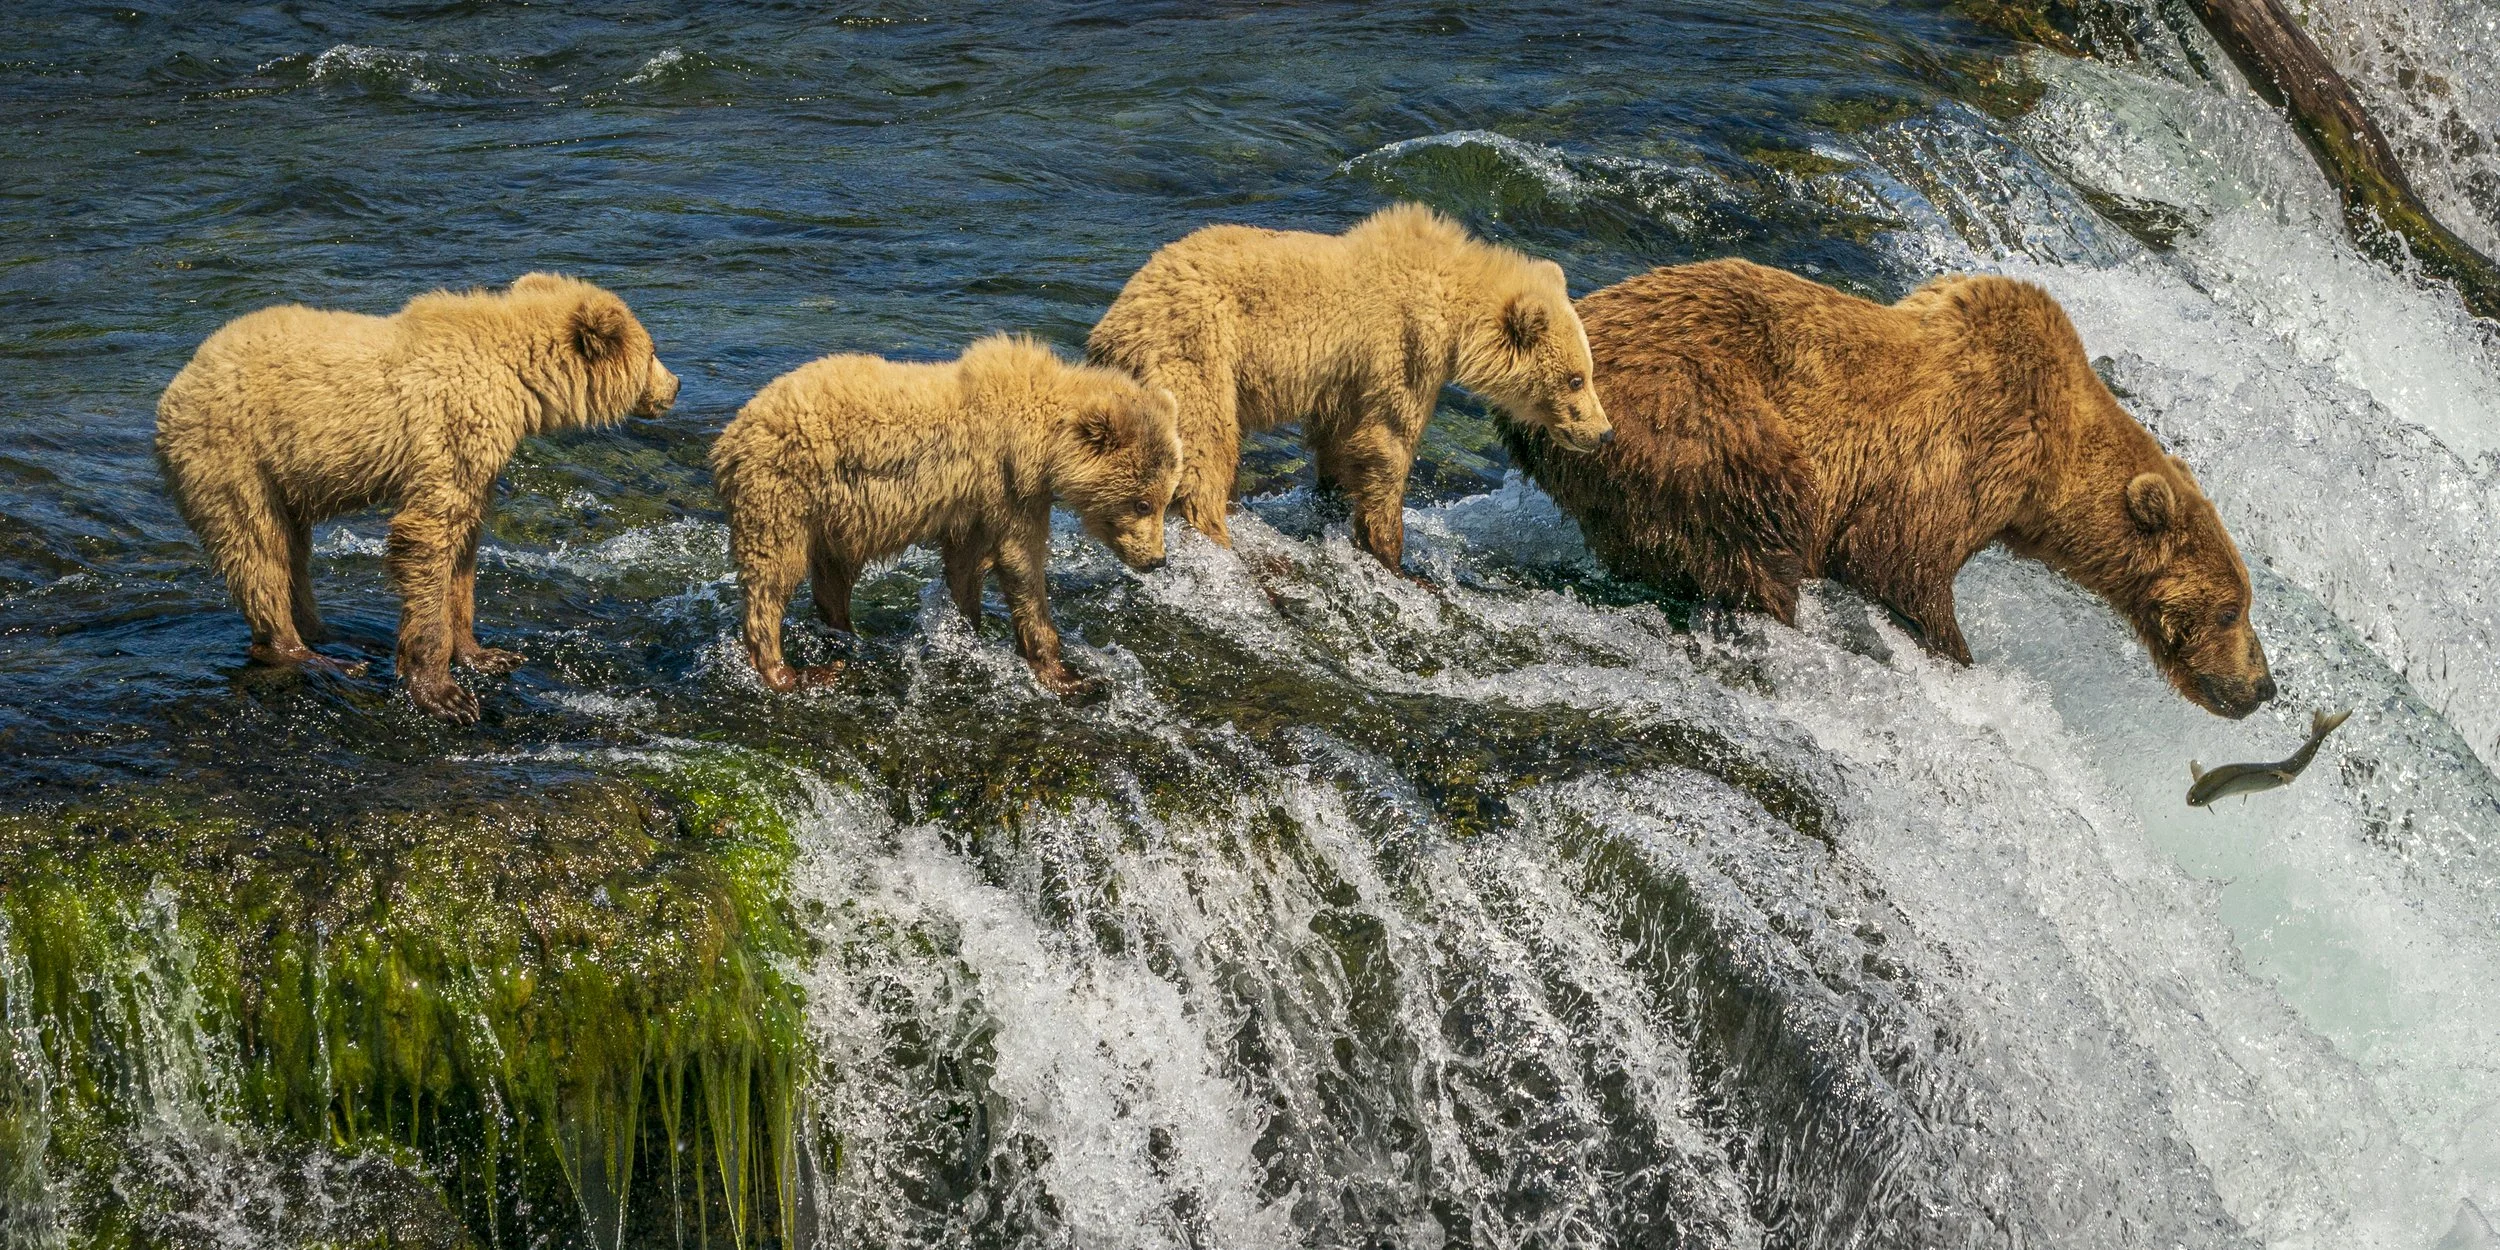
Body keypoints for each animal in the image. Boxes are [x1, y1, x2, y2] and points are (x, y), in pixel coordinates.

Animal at [155, 273, 680, 723]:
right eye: (654, 350)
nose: (674, 387)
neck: (517, 382)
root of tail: (177, 384)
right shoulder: (450, 431)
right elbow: (427, 538)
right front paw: (444, 694)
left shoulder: (477, 463)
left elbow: (463, 552)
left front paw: (487, 653)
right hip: (234, 459)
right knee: (258, 550)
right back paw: (311, 654)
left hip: (282, 479)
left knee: (293, 553)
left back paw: (338, 634)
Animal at [709, 334, 1181, 696]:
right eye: (1141, 503)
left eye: (1167, 497)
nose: (1156, 560)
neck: (1042, 443)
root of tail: (729, 438)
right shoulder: (1008, 488)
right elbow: (1022, 564)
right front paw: (1066, 673)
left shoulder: (975, 506)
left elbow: (965, 567)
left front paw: (965, 631)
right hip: (784, 495)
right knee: (772, 577)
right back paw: (791, 671)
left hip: (835, 518)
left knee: (833, 576)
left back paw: (850, 637)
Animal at [1087, 202, 1613, 575]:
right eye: (1575, 378)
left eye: (1588, 371)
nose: (1604, 432)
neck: (1452, 307)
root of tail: (1113, 326)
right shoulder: (1403, 350)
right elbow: (1388, 443)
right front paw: (1395, 556)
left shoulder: (1345, 382)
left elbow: (1340, 444)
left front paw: (1336, 502)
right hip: (1196, 355)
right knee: (1205, 449)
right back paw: (1220, 536)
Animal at [1502, 259, 2277, 718]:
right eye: (2231, 609)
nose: (2264, 687)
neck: (2047, 468)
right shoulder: (1964, 448)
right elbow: (1897, 559)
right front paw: (1956, 655)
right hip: (1696, 418)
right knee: (1761, 527)